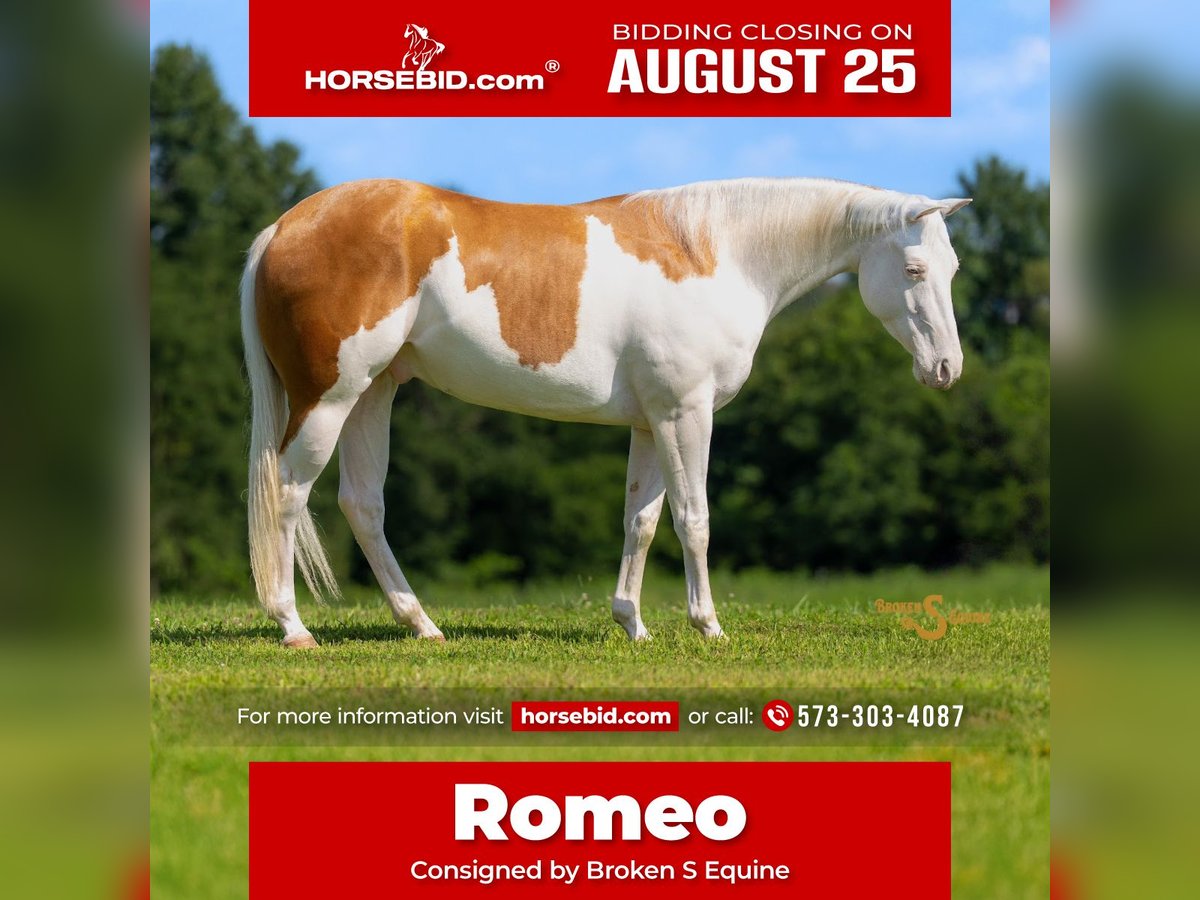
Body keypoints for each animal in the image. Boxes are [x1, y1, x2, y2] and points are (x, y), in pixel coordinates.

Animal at [240, 177, 970, 648]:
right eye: (913, 270)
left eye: (954, 267)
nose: (946, 369)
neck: (715, 252)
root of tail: (282, 227)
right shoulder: (685, 413)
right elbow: (694, 519)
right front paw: (708, 626)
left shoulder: (651, 422)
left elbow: (640, 522)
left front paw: (633, 624)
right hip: (330, 399)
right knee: (289, 493)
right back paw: (294, 628)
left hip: (374, 395)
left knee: (362, 505)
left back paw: (421, 624)